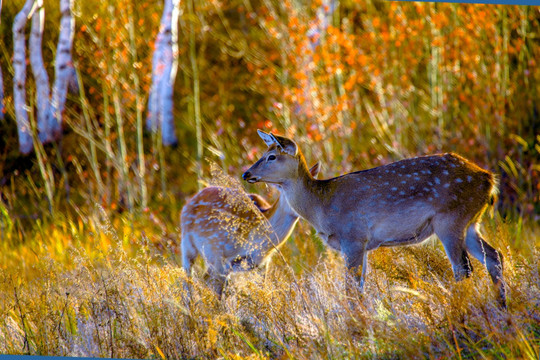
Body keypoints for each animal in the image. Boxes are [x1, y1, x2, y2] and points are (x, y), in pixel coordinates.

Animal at [180, 163, 320, 296]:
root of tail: (189, 202)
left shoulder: (262, 264)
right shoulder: (221, 256)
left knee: (204, 278)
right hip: (188, 247)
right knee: (188, 281)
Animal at [244, 131, 506, 306]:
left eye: (271, 157)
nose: (246, 173)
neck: (321, 207)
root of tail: (489, 179)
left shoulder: (353, 237)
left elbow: (350, 290)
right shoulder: (363, 245)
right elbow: (360, 288)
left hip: (450, 219)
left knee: (463, 269)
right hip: (471, 223)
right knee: (495, 257)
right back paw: (501, 308)